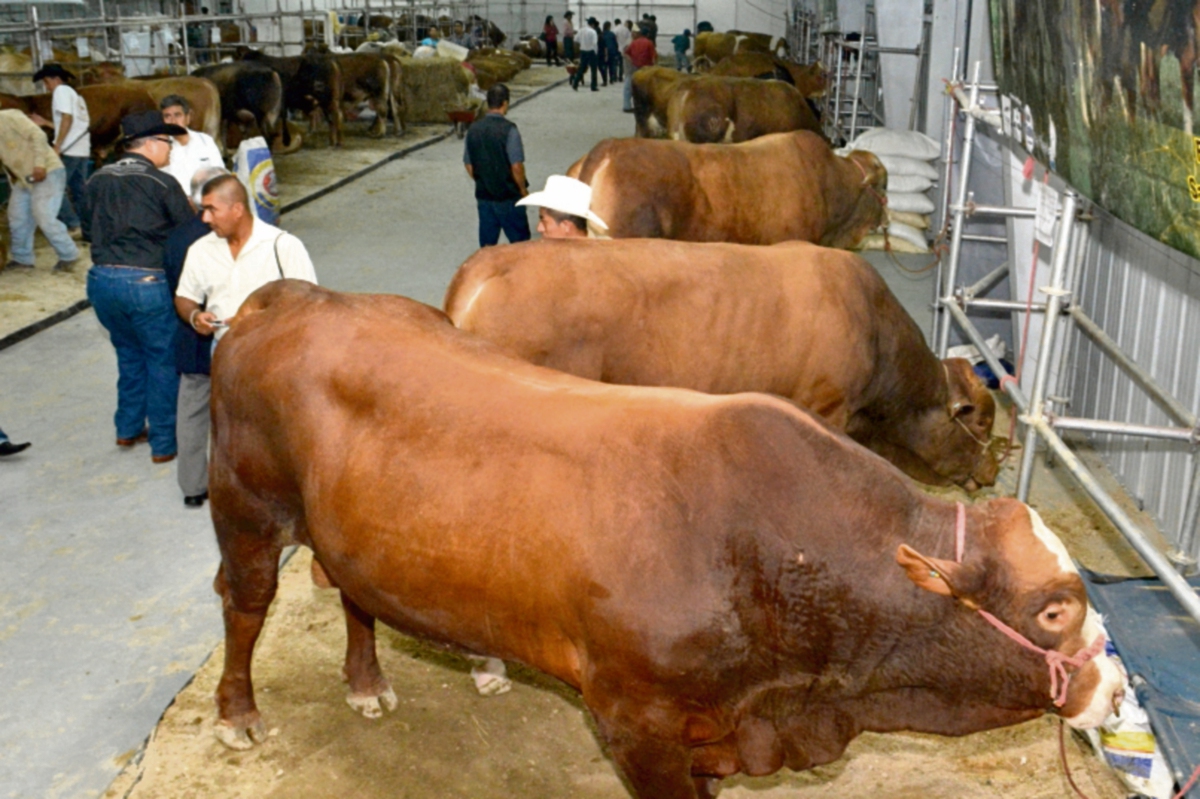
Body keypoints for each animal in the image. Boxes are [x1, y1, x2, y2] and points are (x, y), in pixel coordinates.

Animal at [208, 275, 1123, 796]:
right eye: (1053, 608)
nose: (1116, 693)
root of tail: (290, 296)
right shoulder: (633, 721)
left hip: (344, 530)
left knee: (350, 588)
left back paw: (366, 682)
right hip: (245, 506)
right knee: (244, 601)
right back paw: (237, 713)